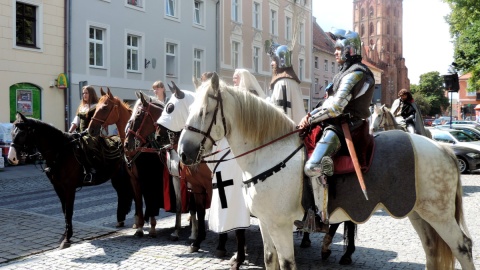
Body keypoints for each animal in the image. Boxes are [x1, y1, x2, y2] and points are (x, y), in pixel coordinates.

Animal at [8, 112, 133, 249]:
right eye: (12, 133)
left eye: (22, 133)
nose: (11, 158)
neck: (60, 152)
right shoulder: (58, 187)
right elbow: (64, 211)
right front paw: (65, 235)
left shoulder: (69, 188)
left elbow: (69, 211)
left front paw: (67, 239)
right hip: (117, 177)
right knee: (123, 194)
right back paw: (121, 219)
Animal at [178, 73, 474, 268]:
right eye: (188, 109)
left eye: (204, 112)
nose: (183, 153)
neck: (268, 153)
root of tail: (443, 149)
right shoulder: (265, 222)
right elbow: (270, 260)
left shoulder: (281, 226)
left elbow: (286, 263)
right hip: (418, 212)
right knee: (432, 249)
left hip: (439, 214)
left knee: (462, 247)